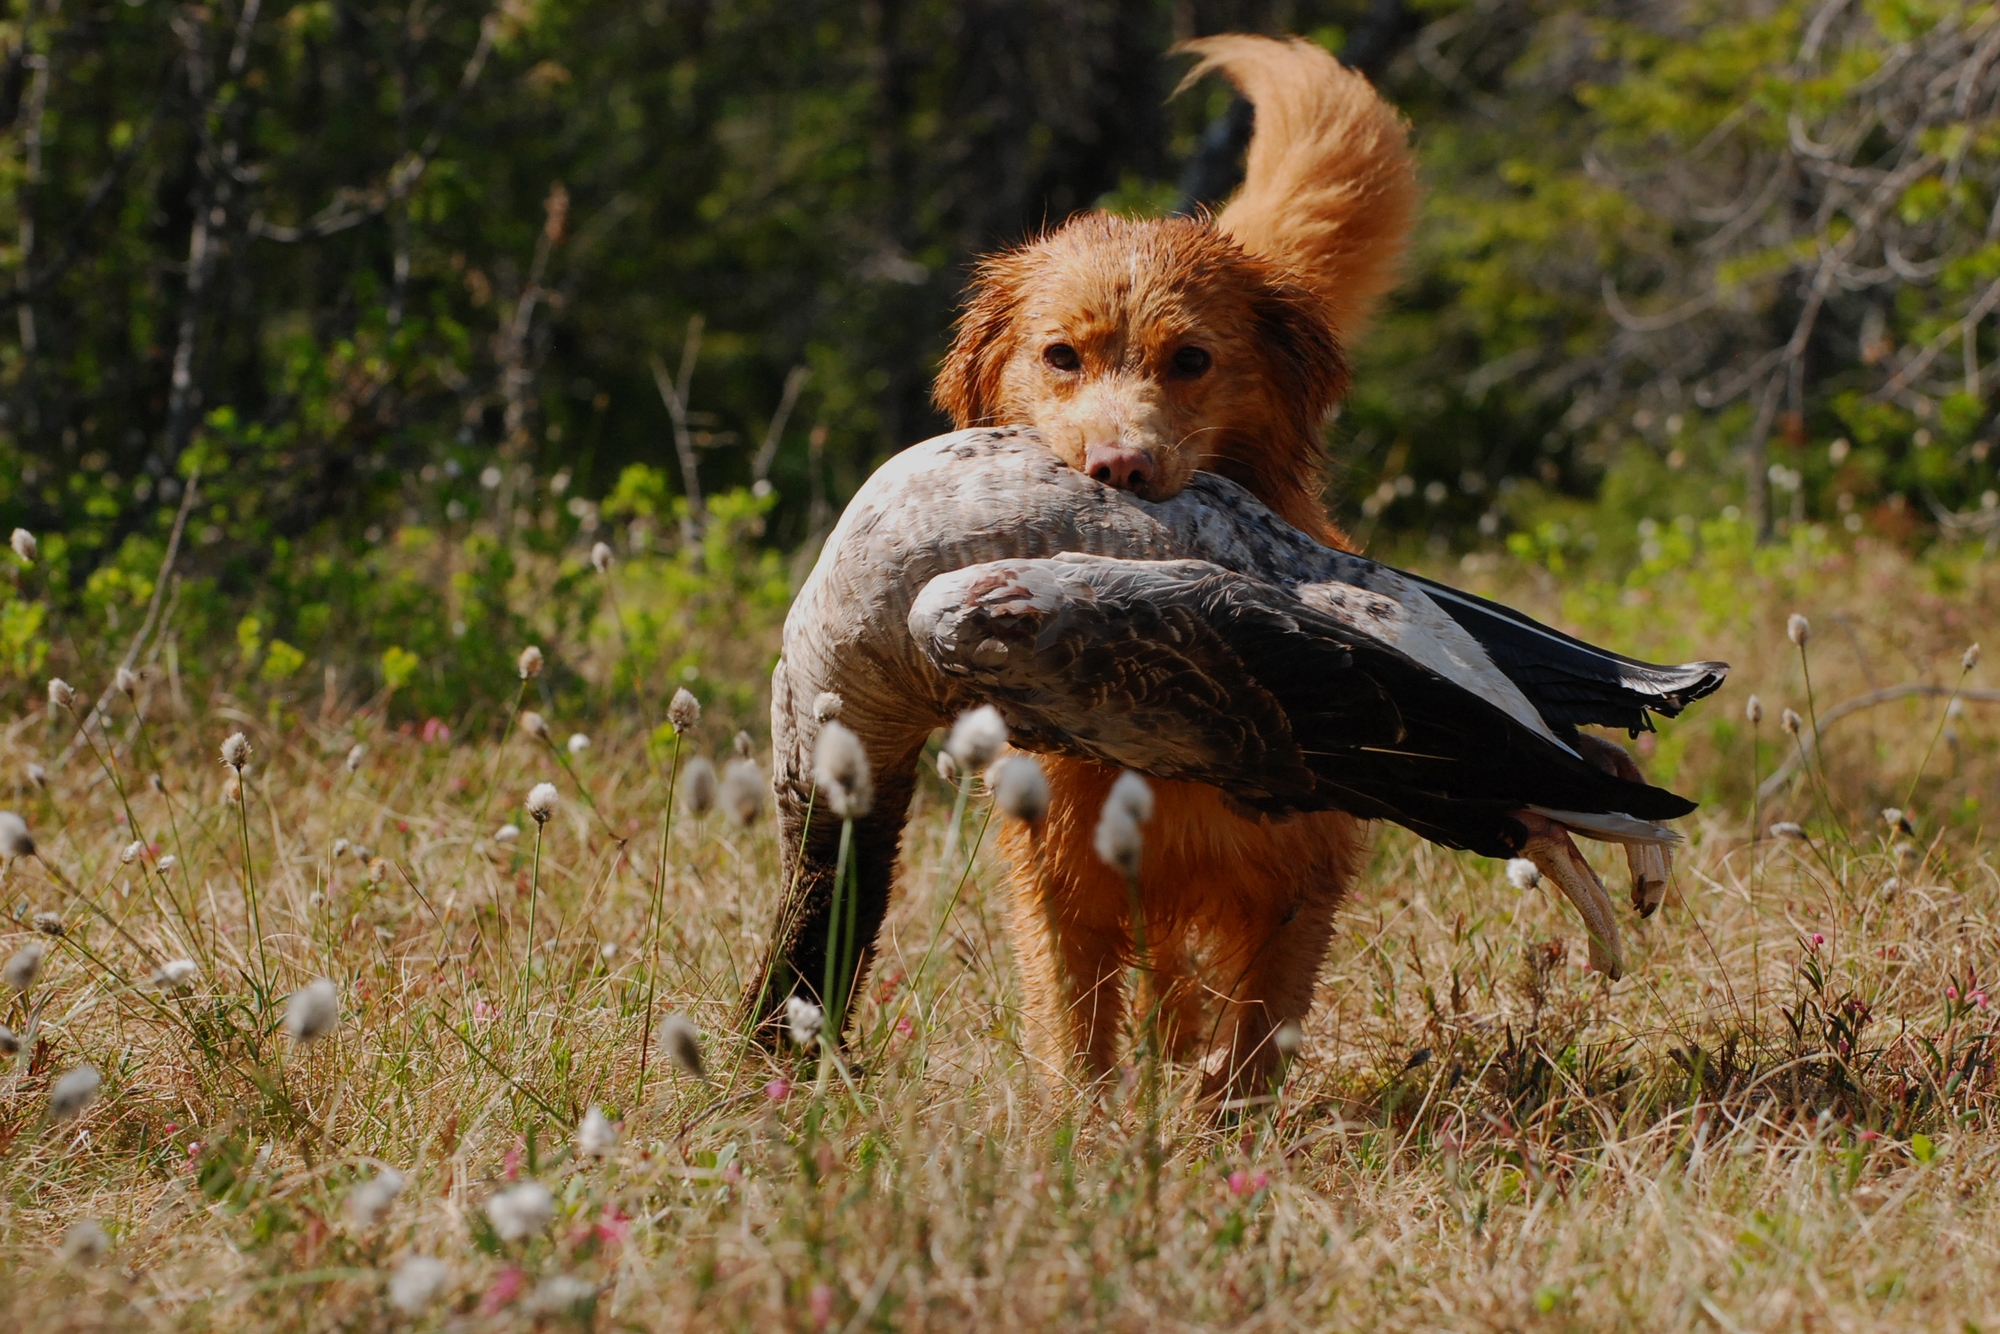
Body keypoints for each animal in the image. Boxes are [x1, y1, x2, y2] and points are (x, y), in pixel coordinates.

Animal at [932, 34, 1424, 1096]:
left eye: (1190, 359)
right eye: (1061, 355)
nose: (1119, 467)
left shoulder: (1295, 881)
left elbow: (1252, 1044)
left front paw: (1219, 1124)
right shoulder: (1062, 877)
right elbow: (1076, 1038)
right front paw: (1082, 1129)